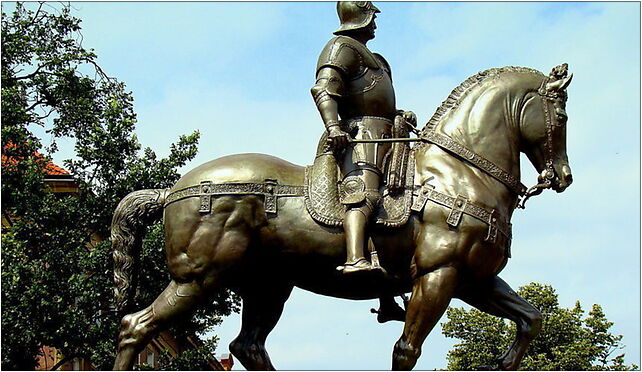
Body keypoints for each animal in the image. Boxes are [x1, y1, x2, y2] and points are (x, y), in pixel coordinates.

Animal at [111, 64, 576, 370]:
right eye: (563, 114)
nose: (563, 177)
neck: (459, 172)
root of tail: (172, 190)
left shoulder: (473, 280)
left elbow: (531, 319)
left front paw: (503, 362)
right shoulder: (438, 276)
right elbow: (406, 350)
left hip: (268, 286)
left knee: (248, 347)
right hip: (199, 277)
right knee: (135, 326)